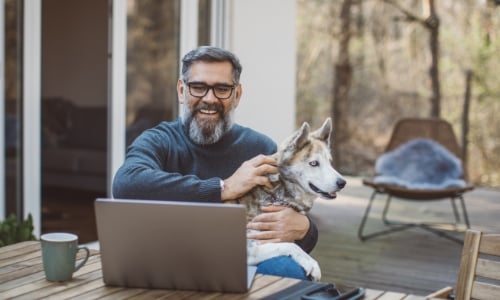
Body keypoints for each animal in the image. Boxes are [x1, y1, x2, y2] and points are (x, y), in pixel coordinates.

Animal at [237, 118, 346, 282]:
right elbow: (291, 245)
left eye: (329, 162)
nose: (342, 183)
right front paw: (311, 263)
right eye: (314, 163)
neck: (276, 193)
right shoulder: (249, 249)